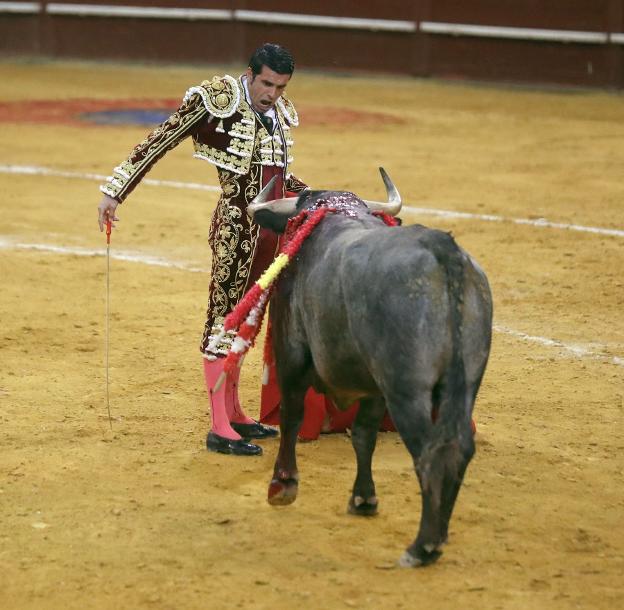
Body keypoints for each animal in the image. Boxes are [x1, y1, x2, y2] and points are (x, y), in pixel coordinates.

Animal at [249, 167, 492, 564]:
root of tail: (444, 253)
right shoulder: (373, 387)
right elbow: (363, 435)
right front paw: (363, 498)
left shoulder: (292, 353)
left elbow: (291, 416)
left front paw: (283, 485)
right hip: (462, 386)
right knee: (459, 446)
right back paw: (439, 534)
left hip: (406, 390)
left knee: (430, 450)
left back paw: (423, 545)